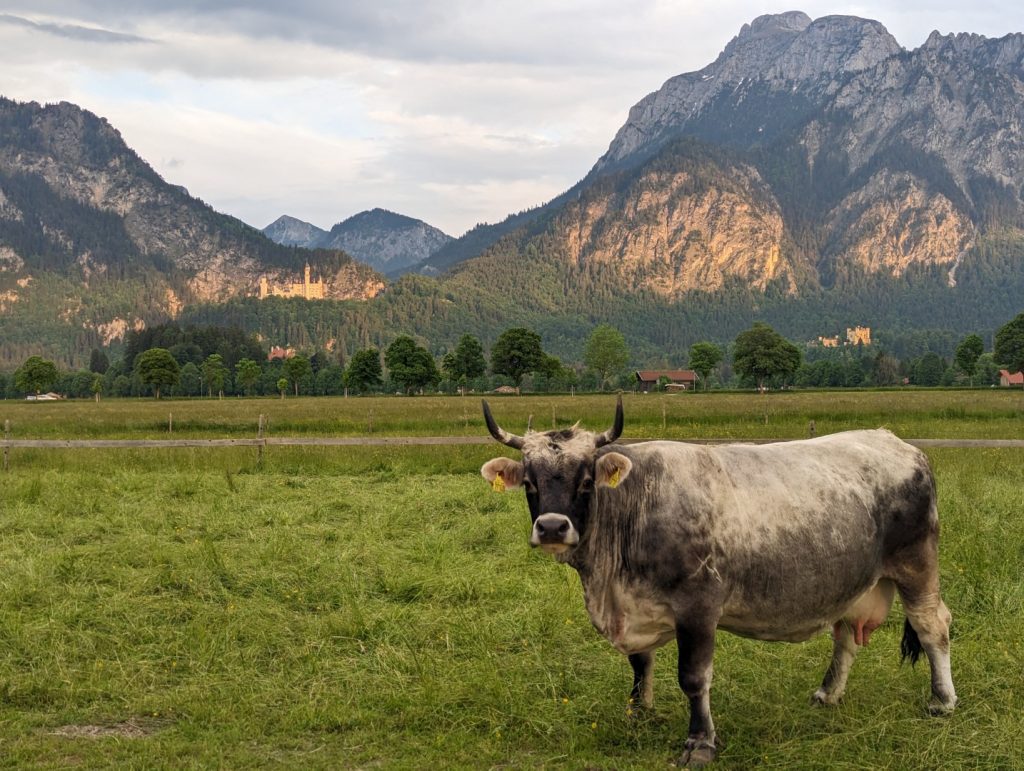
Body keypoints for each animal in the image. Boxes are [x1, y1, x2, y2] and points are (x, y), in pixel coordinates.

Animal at [483, 397, 954, 765]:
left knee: (933, 626)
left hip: (917, 566)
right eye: (529, 482)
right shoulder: (635, 607)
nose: (552, 527)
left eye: (585, 481)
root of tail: (896, 442)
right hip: (855, 583)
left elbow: (694, 677)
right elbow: (640, 663)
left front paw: (700, 742)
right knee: (847, 637)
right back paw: (827, 694)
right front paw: (639, 712)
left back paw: (942, 700)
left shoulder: (698, 607)